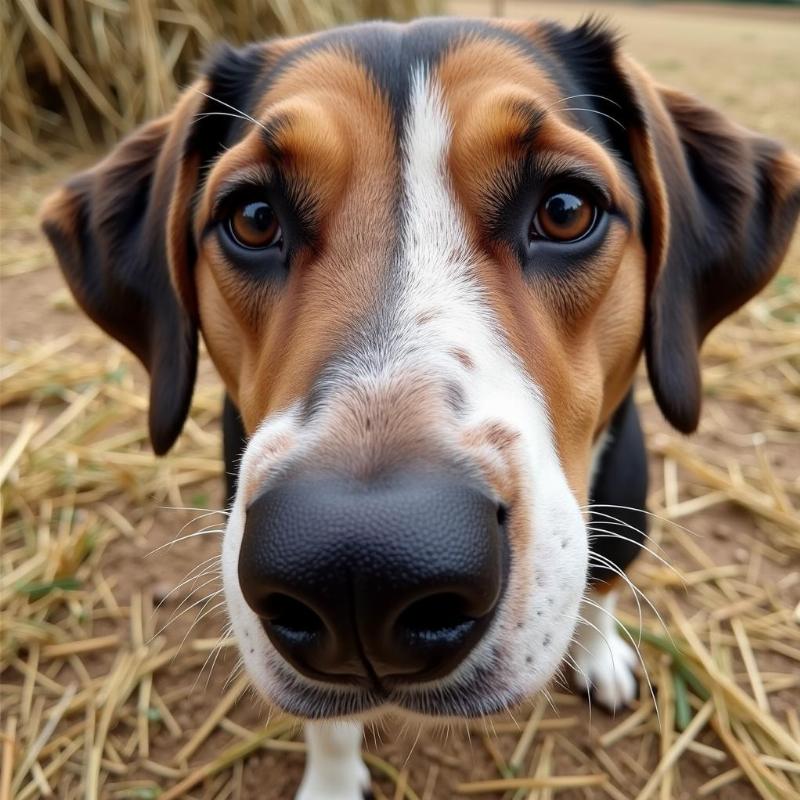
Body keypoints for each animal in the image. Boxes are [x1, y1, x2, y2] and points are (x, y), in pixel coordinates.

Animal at [40, 15, 796, 796]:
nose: (359, 572)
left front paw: (597, 650)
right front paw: (333, 781)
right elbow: (331, 726)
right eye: (251, 217)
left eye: (566, 210)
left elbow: (604, 579)